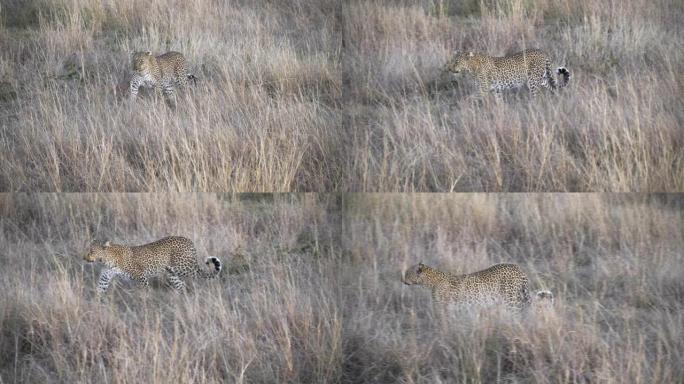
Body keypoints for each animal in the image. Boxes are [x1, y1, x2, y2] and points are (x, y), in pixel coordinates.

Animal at [83, 236, 222, 292]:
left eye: (92, 251)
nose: (84, 257)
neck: (106, 261)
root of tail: (189, 241)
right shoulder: (105, 276)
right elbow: (100, 288)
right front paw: (97, 305)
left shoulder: (140, 276)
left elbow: (145, 290)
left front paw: (146, 305)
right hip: (172, 273)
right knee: (181, 284)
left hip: (184, 267)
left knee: (202, 274)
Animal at [400, 262, 552, 314]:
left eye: (407, 273)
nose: (402, 279)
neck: (430, 282)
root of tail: (518, 269)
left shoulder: (443, 308)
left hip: (512, 301)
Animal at [444, 49, 572, 97]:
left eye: (456, 61)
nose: (449, 68)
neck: (472, 67)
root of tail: (542, 52)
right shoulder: (496, 90)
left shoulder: (482, 89)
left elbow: (472, 99)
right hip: (542, 78)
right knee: (553, 87)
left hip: (532, 81)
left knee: (535, 95)